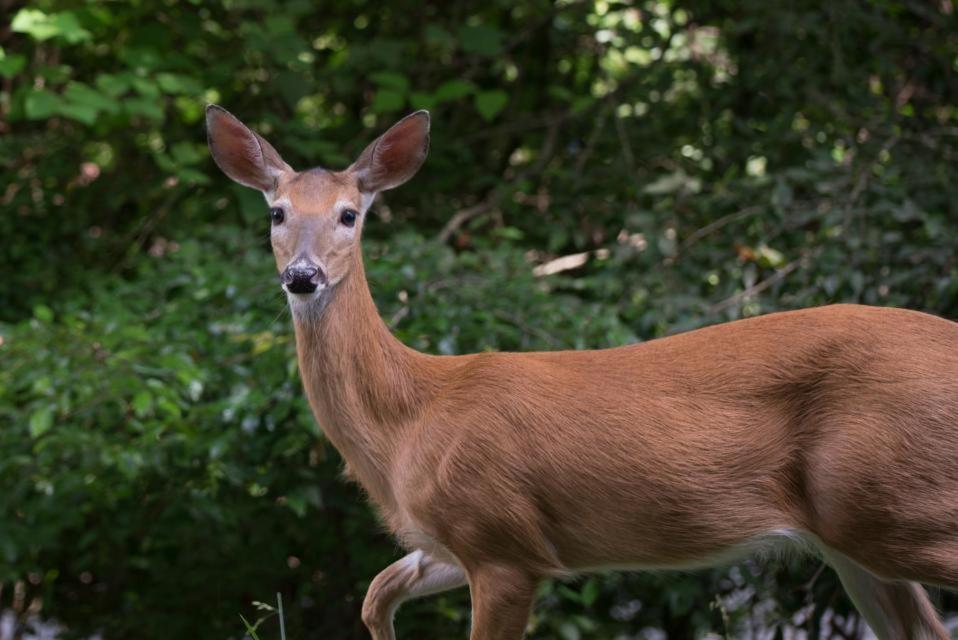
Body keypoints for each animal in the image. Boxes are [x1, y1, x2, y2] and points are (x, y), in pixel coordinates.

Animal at [204, 106, 958, 640]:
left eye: (349, 215)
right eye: (276, 212)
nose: (303, 276)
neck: (411, 419)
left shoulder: (502, 541)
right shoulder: (452, 541)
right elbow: (374, 593)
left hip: (890, 501)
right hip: (853, 537)